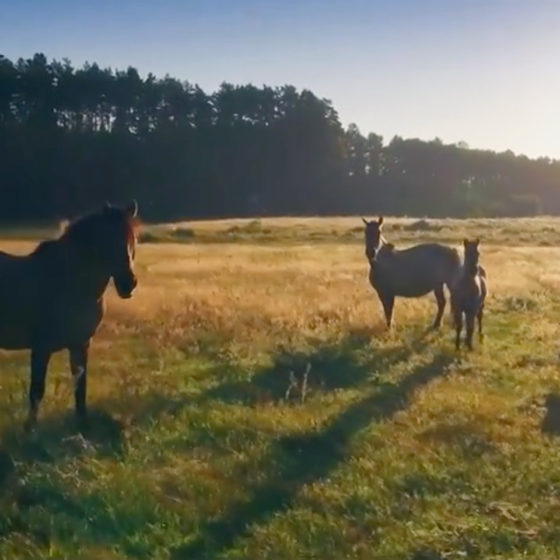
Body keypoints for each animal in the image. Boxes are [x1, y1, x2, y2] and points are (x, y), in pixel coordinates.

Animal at [0, 202, 139, 434]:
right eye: (107, 239)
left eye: (133, 239)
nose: (128, 283)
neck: (70, 282)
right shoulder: (41, 347)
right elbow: (36, 390)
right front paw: (30, 431)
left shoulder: (80, 344)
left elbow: (80, 387)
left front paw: (82, 426)